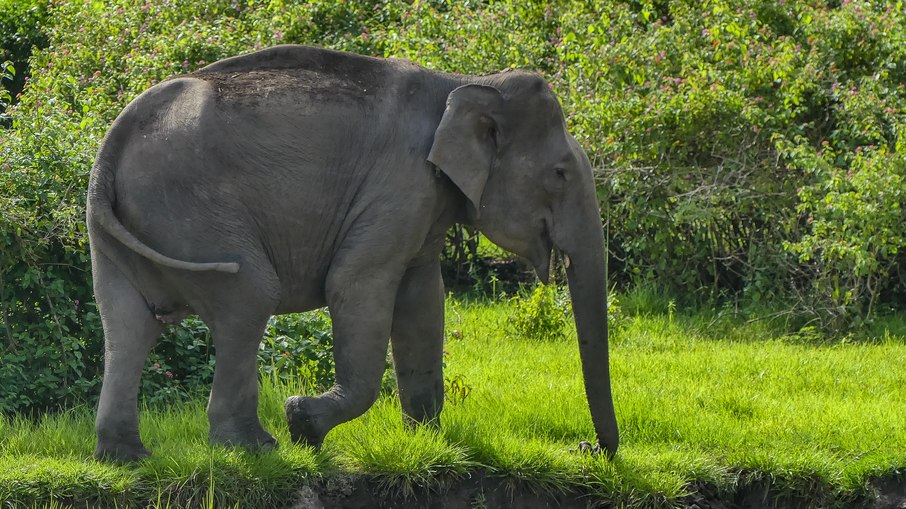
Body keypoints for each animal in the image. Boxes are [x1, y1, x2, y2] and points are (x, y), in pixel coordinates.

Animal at [87, 44, 618, 462]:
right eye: (559, 174)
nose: (587, 448)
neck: (464, 81)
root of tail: (113, 143)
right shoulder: (400, 184)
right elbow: (355, 283)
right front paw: (302, 424)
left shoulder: (424, 202)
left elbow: (422, 297)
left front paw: (426, 445)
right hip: (193, 214)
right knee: (249, 296)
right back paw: (254, 448)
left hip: (126, 230)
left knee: (128, 324)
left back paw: (126, 457)